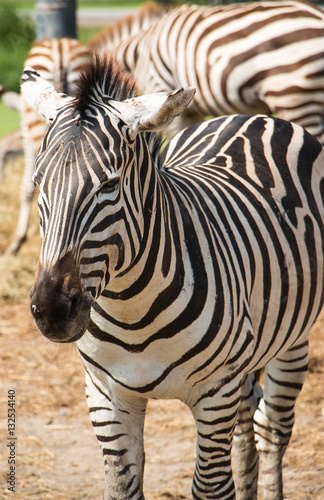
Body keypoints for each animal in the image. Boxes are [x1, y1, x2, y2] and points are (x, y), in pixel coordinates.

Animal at [21, 55, 322, 500]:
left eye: (109, 184)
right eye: (39, 182)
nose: (53, 311)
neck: (130, 309)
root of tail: (252, 117)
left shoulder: (215, 393)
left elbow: (211, 486)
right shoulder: (106, 395)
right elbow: (122, 485)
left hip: (291, 337)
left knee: (271, 428)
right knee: (248, 421)